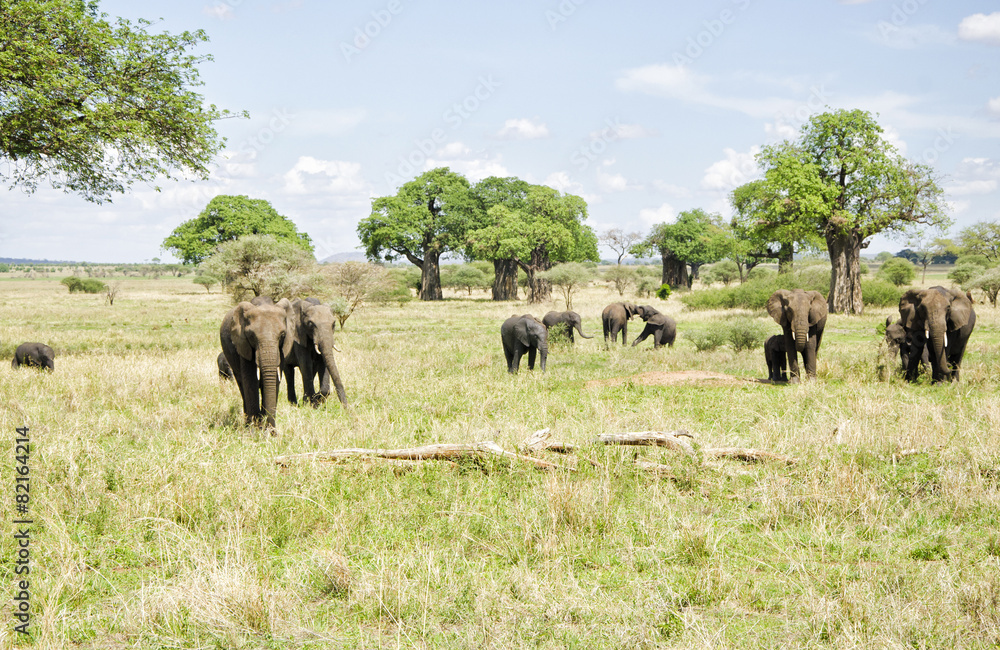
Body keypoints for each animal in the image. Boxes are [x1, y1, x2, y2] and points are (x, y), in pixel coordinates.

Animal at [220, 298, 295, 430]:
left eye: (282, 335)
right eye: (251, 335)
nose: (273, 431)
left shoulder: (282, 348)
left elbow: (273, 380)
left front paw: (264, 429)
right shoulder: (242, 343)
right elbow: (250, 380)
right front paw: (255, 429)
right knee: (241, 384)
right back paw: (247, 424)